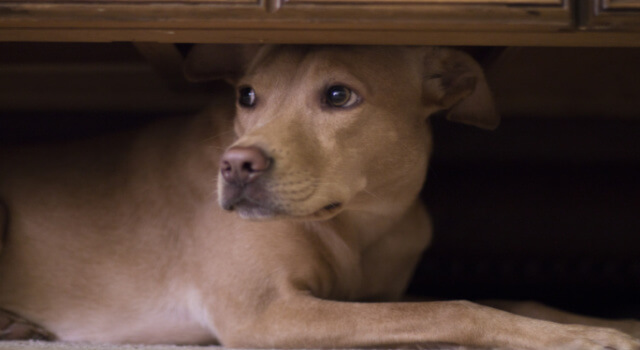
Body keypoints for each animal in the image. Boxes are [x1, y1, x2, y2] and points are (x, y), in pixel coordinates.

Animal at [1, 45, 640, 350]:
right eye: (247, 96)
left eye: (338, 95)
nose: (235, 166)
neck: (363, 220)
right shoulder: (268, 313)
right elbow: (457, 308)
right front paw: (580, 340)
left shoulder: (375, 297)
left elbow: (509, 300)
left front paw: (608, 322)